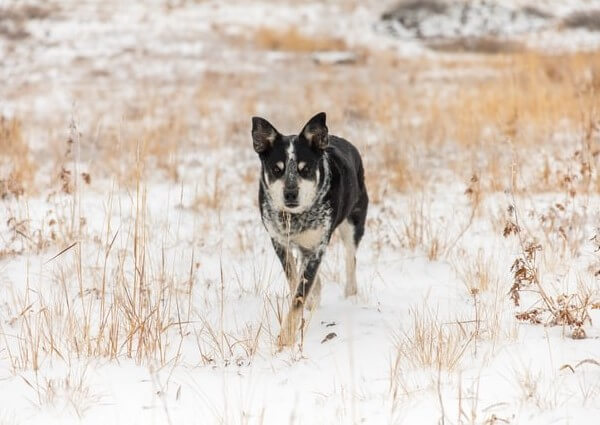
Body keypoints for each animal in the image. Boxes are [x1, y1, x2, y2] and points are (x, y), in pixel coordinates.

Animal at [251, 111, 368, 346]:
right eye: (276, 169)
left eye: (305, 169)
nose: (290, 193)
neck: (296, 217)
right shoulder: (279, 241)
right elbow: (294, 278)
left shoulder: (318, 245)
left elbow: (300, 293)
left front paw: (285, 339)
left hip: (353, 223)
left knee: (350, 260)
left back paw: (350, 295)